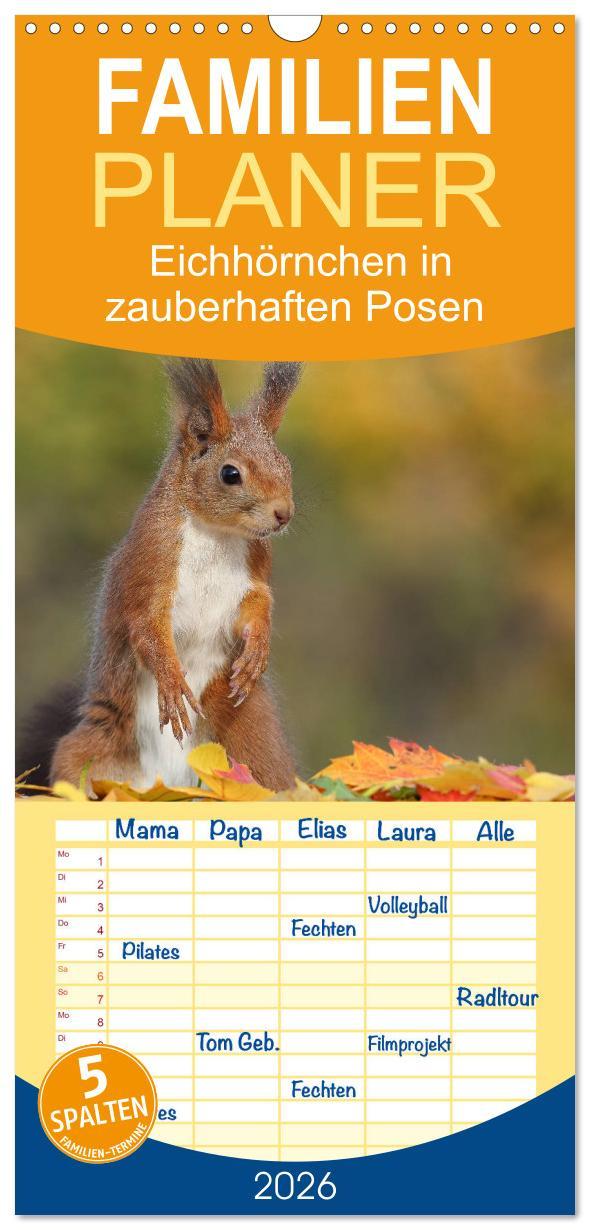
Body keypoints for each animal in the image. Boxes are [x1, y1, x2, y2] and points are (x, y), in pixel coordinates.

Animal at [40, 358, 302, 794]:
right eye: (230, 474)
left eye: (286, 464)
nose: (284, 514)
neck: (217, 534)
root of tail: (168, 784)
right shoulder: (149, 566)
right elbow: (146, 627)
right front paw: (172, 681)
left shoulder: (254, 573)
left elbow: (257, 604)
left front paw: (257, 649)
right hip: (92, 749)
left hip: (251, 738)